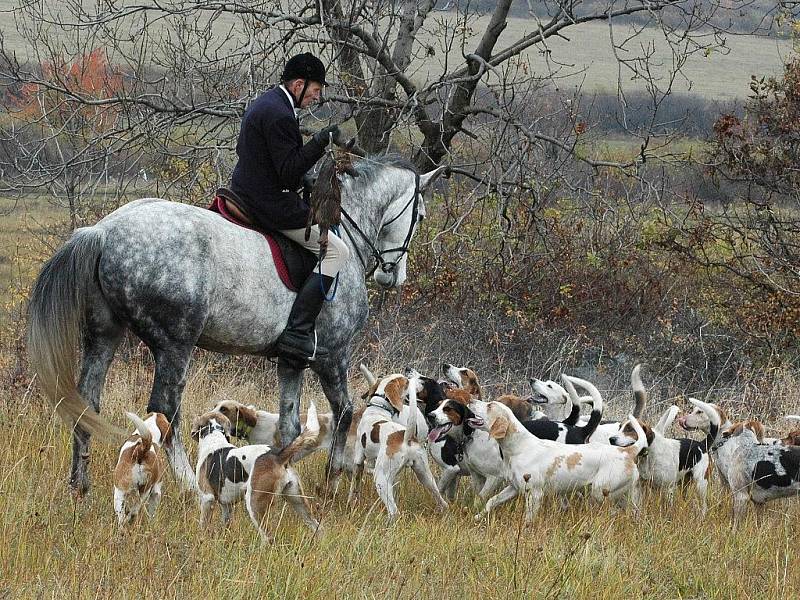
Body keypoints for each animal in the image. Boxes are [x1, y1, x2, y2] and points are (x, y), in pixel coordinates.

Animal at [29, 156, 444, 496]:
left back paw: (79, 484)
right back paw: (187, 483)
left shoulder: (292, 360)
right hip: (175, 343)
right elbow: (343, 414)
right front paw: (333, 479)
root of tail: (103, 231)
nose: (394, 276)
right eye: (421, 216)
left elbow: (290, 426)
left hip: (104, 334)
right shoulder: (332, 354)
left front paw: (278, 472)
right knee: (165, 410)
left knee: (87, 402)